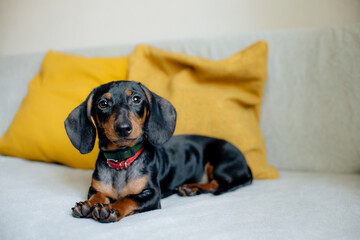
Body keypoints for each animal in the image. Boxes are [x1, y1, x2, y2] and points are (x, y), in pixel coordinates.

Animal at [64, 80, 252, 223]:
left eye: (136, 99)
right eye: (103, 104)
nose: (123, 128)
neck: (122, 160)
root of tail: (247, 165)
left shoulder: (153, 194)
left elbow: (129, 198)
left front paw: (112, 209)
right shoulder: (95, 189)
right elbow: (97, 196)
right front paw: (88, 205)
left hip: (220, 163)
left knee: (217, 183)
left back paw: (193, 188)